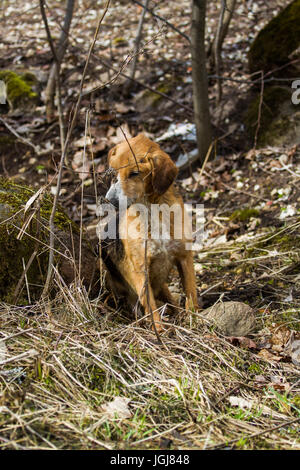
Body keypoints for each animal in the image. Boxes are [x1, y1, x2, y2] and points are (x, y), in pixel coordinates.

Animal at [102, 133, 198, 330]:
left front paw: (195, 320)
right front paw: (159, 331)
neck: (151, 209)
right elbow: (151, 306)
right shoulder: (141, 270)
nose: (110, 201)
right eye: (113, 174)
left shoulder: (184, 257)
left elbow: (191, 292)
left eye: (134, 173)